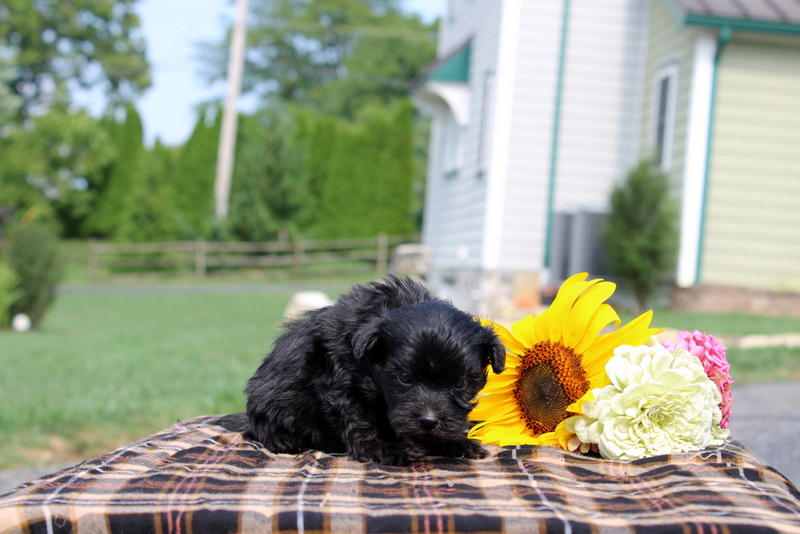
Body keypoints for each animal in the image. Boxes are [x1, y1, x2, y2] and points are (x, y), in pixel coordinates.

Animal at [244, 278, 506, 466]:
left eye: (461, 383)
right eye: (404, 378)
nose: (429, 421)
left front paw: (456, 443)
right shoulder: (339, 383)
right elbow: (359, 418)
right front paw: (380, 449)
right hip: (266, 398)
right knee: (262, 424)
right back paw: (282, 438)